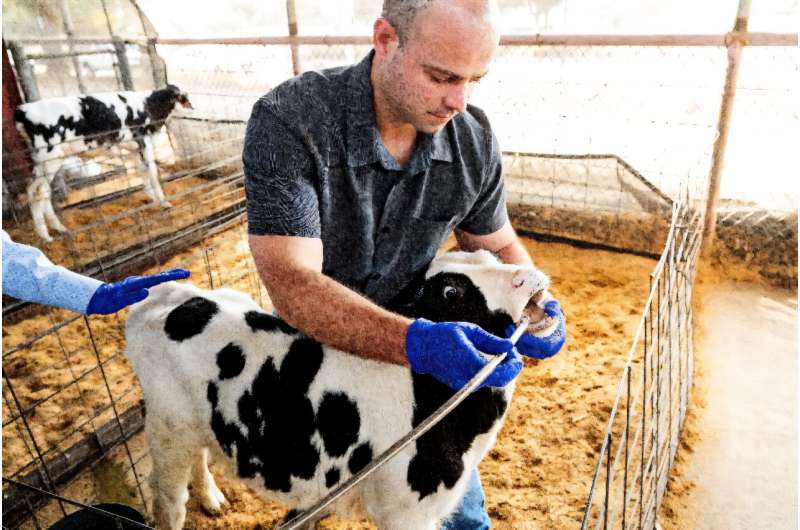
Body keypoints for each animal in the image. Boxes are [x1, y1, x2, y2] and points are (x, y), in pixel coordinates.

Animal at [14, 84, 193, 241]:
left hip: (44, 161)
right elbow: (153, 173)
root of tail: (22, 110)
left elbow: (142, 171)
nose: (193, 107)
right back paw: (46, 235)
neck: (148, 106)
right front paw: (164, 202)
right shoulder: (144, 141)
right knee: (38, 192)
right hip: (50, 157)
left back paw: (57, 230)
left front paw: (152, 198)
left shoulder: (135, 148)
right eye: (183, 99)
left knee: (37, 190)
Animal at [125, 249, 552, 528]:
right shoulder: (403, 511)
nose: (530, 274)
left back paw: (213, 500)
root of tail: (166, 294)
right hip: (167, 429)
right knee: (170, 501)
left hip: (192, 422)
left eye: (488, 255)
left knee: (199, 456)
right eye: (451, 292)